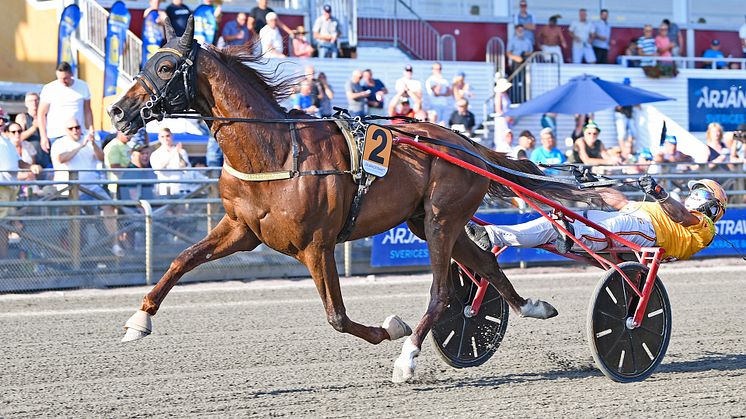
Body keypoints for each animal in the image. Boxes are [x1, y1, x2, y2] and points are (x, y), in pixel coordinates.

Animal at [109, 17, 600, 384]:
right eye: (148, 61)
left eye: (166, 67)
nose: (116, 111)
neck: (274, 149)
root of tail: (465, 144)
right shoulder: (242, 230)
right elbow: (182, 259)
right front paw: (138, 320)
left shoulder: (316, 245)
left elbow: (338, 317)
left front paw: (392, 329)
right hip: (429, 220)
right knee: (486, 265)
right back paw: (531, 306)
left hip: (441, 219)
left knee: (443, 292)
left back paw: (408, 358)